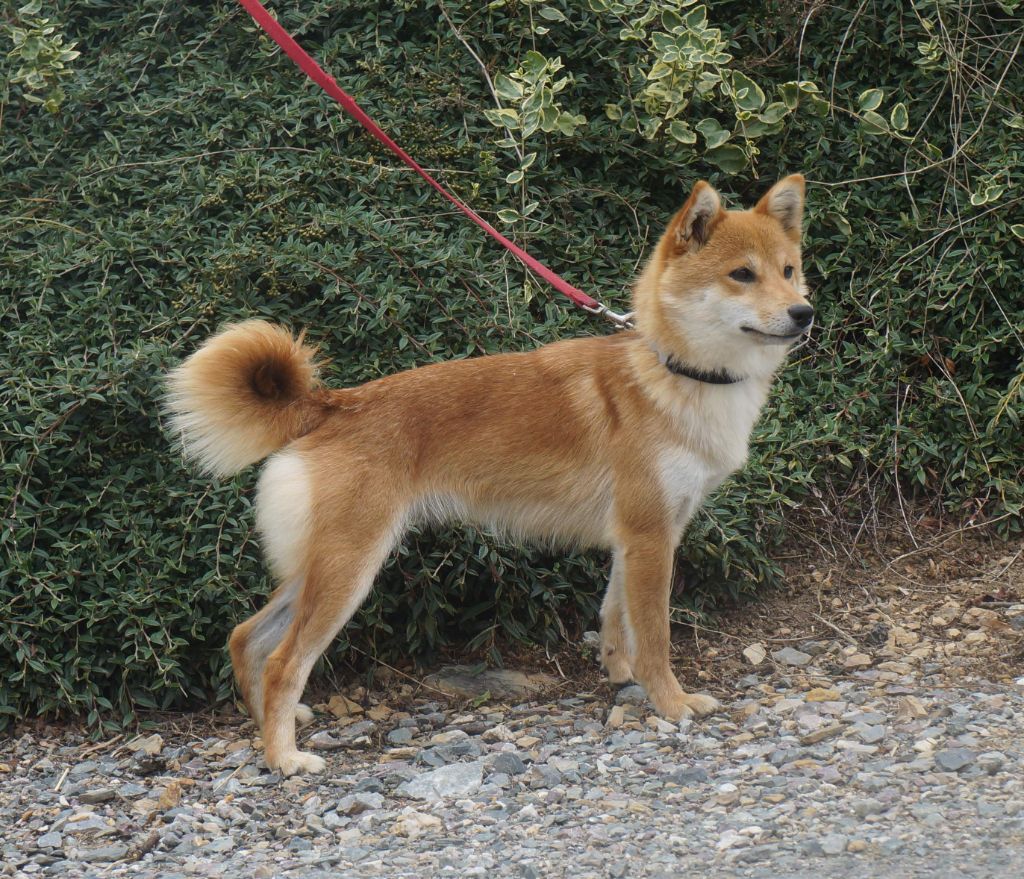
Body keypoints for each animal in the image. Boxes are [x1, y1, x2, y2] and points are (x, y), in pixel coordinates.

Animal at [167, 173, 811, 774]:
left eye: (788, 270)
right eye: (742, 275)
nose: (804, 313)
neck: (673, 370)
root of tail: (332, 404)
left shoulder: (640, 539)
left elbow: (615, 618)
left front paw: (619, 675)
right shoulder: (651, 538)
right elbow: (654, 635)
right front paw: (672, 704)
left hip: (321, 566)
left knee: (247, 638)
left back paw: (268, 733)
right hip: (348, 571)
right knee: (283, 661)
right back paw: (284, 758)